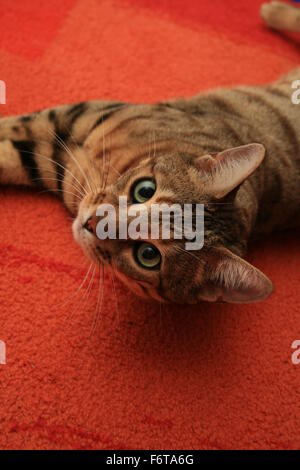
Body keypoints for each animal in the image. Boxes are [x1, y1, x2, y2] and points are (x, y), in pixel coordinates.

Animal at [0, 0, 298, 304]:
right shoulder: (72, 117)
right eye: (144, 190)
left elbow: (8, 153)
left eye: (148, 255)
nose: (92, 222)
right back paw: (274, 11)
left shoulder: (50, 154)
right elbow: (12, 126)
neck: (105, 168)